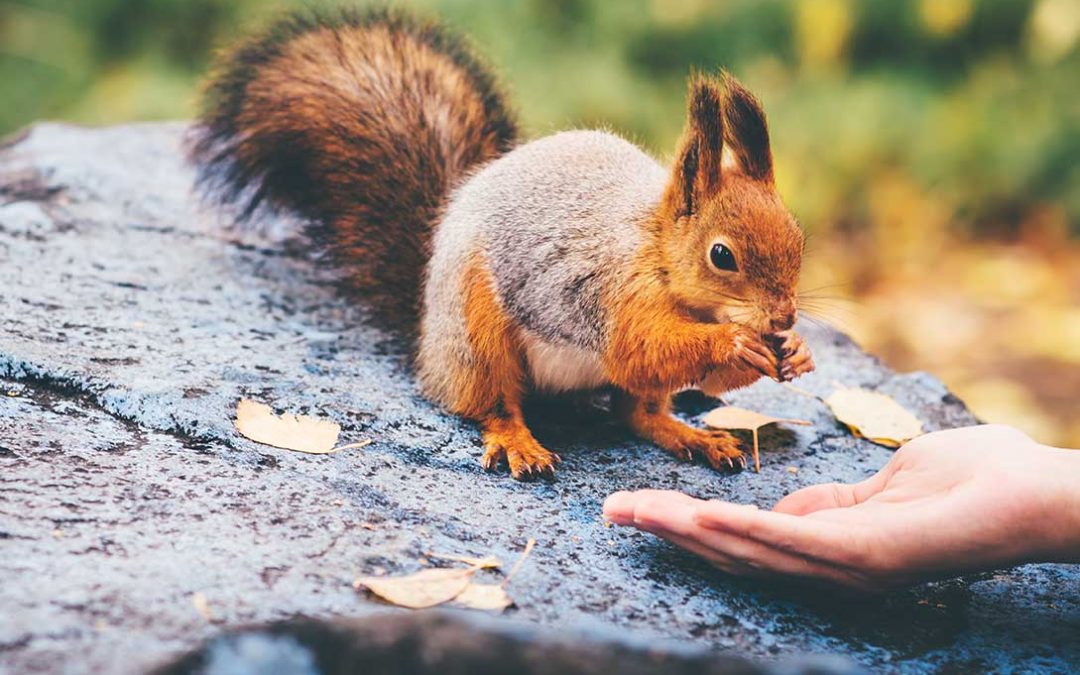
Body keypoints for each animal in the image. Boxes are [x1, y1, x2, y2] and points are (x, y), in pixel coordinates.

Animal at [190, 6, 812, 479]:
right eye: (721, 255)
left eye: (799, 236)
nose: (783, 317)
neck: (658, 252)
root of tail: (426, 334)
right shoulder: (611, 292)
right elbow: (638, 348)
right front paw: (734, 342)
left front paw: (793, 351)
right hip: (476, 333)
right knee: (490, 404)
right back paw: (519, 442)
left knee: (636, 413)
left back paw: (693, 436)